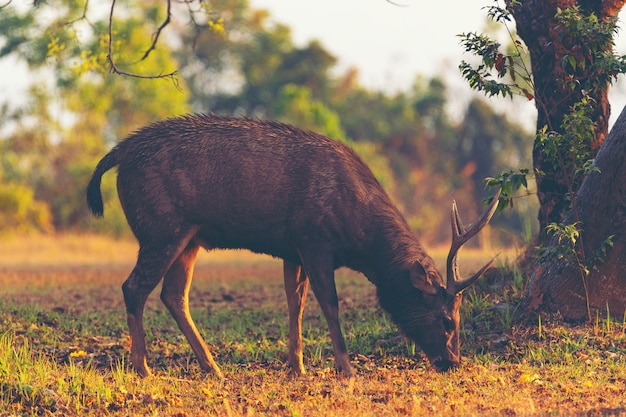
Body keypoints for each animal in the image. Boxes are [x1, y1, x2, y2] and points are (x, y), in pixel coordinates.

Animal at [86, 113, 498, 376]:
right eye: (447, 320)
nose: (453, 363)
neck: (359, 235)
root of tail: (118, 154)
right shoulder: (314, 238)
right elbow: (329, 303)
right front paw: (345, 367)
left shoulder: (293, 247)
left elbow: (294, 301)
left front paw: (296, 364)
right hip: (160, 228)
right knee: (134, 287)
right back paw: (143, 367)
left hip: (189, 236)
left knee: (173, 294)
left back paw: (212, 367)